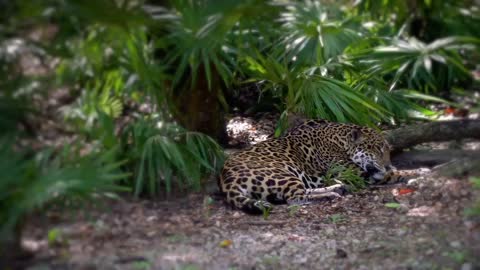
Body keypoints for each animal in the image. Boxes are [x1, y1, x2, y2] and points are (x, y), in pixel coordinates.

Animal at [219, 119, 400, 214]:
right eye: (378, 149)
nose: (388, 165)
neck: (341, 141)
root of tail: (226, 178)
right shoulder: (352, 172)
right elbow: (384, 175)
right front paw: (399, 174)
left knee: (302, 192)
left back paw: (336, 188)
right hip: (279, 174)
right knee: (295, 198)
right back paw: (330, 195)